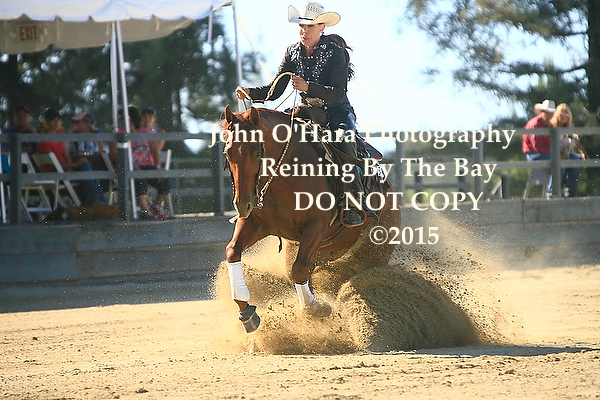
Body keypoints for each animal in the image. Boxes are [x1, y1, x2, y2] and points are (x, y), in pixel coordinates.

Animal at [222, 105, 401, 333]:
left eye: (258, 152)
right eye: (228, 153)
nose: (242, 203)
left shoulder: (316, 226)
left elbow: (299, 270)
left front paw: (315, 308)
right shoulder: (254, 223)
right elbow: (232, 251)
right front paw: (246, 311)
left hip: (375, 253)